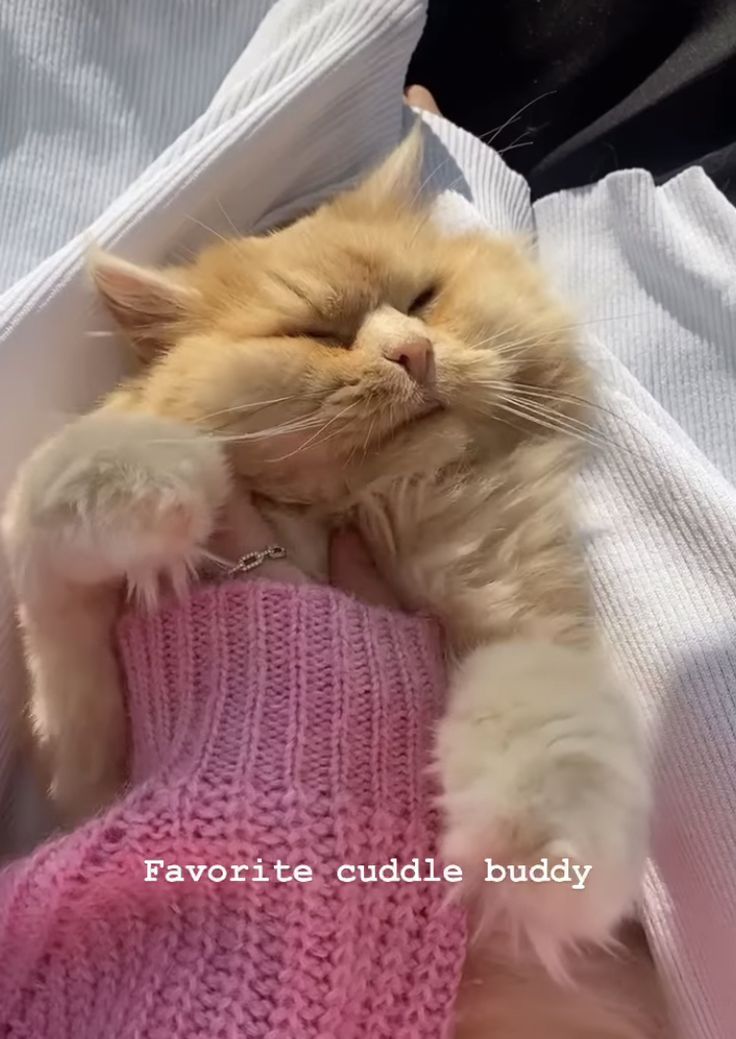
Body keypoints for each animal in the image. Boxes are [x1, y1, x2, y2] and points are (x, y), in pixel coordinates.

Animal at [1, 129, 665, 1039]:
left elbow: (542, 708)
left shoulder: (522, 621)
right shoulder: (86, 767)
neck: (374, 504)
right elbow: (50, 507)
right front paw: (156, 477)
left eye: (422, 300)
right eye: (316, 330)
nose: (414, 352)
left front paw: (539, 850)